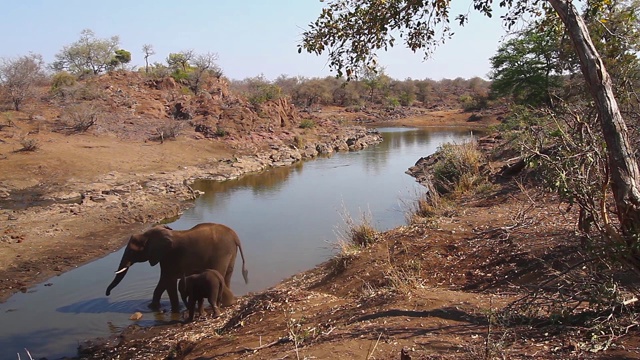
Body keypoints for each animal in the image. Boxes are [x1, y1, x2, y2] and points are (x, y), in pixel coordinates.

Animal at [105, 222, 248, 312]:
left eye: (131, 251)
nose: (107, 294)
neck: (148, 234)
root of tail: (235, 236)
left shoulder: (168, 256)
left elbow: (167, 281)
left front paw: (163, 309)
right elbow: (165, 282)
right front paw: (154, 308)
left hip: (221, 252)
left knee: (218, 273)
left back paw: (227, 303)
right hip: (230, 253)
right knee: (227, 276)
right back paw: (226, 303)